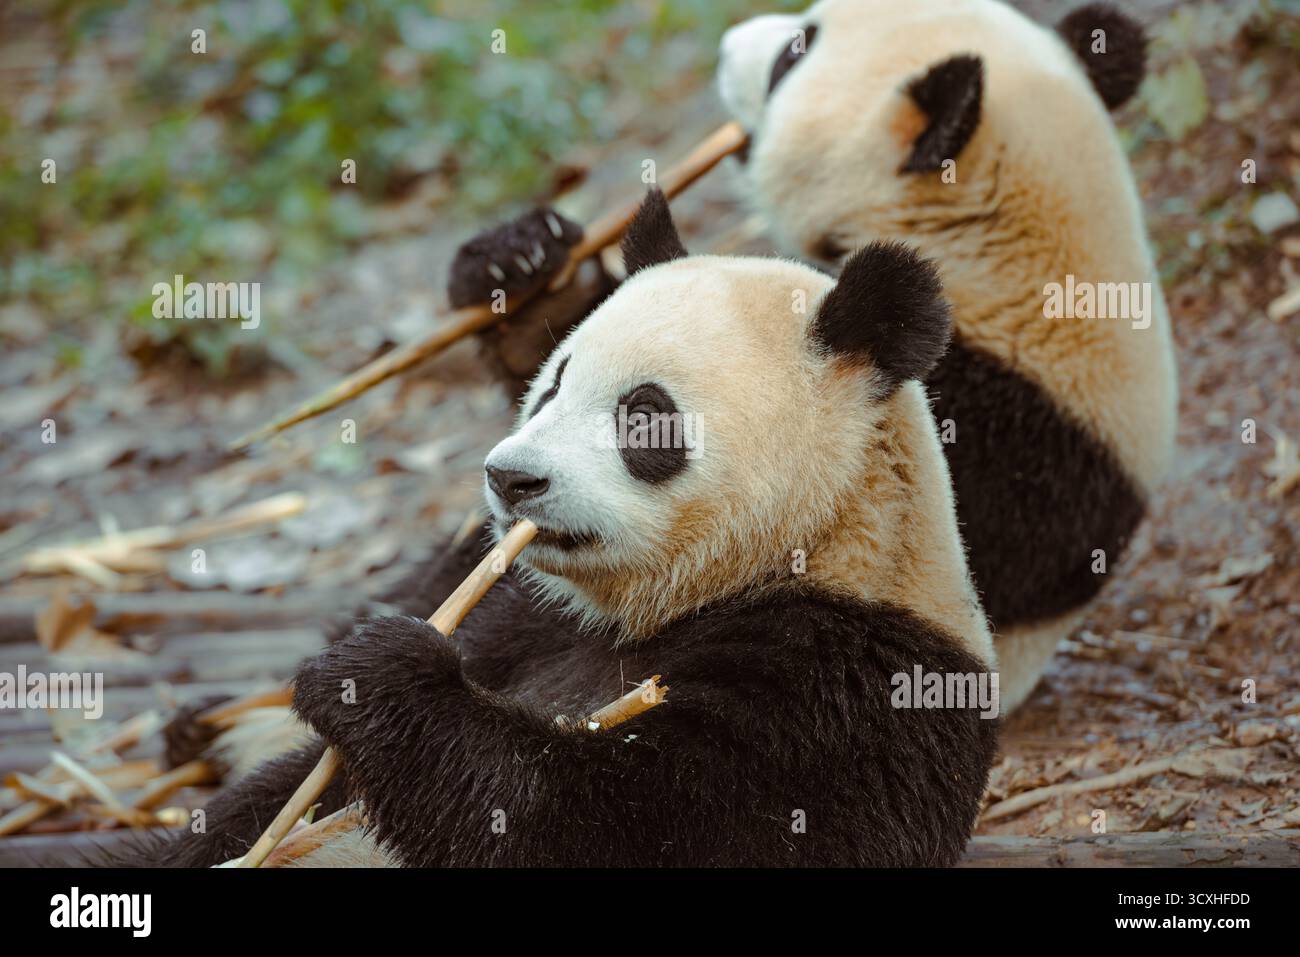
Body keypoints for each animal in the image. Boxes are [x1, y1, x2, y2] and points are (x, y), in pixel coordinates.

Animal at [128, 193, 999, 868]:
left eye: (644, 416)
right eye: (552, 386)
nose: (511, 479)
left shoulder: (849, 684)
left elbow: (629, 828)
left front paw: (379, 669)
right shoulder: (530, 615)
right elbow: (281, 791)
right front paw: (525, 267)